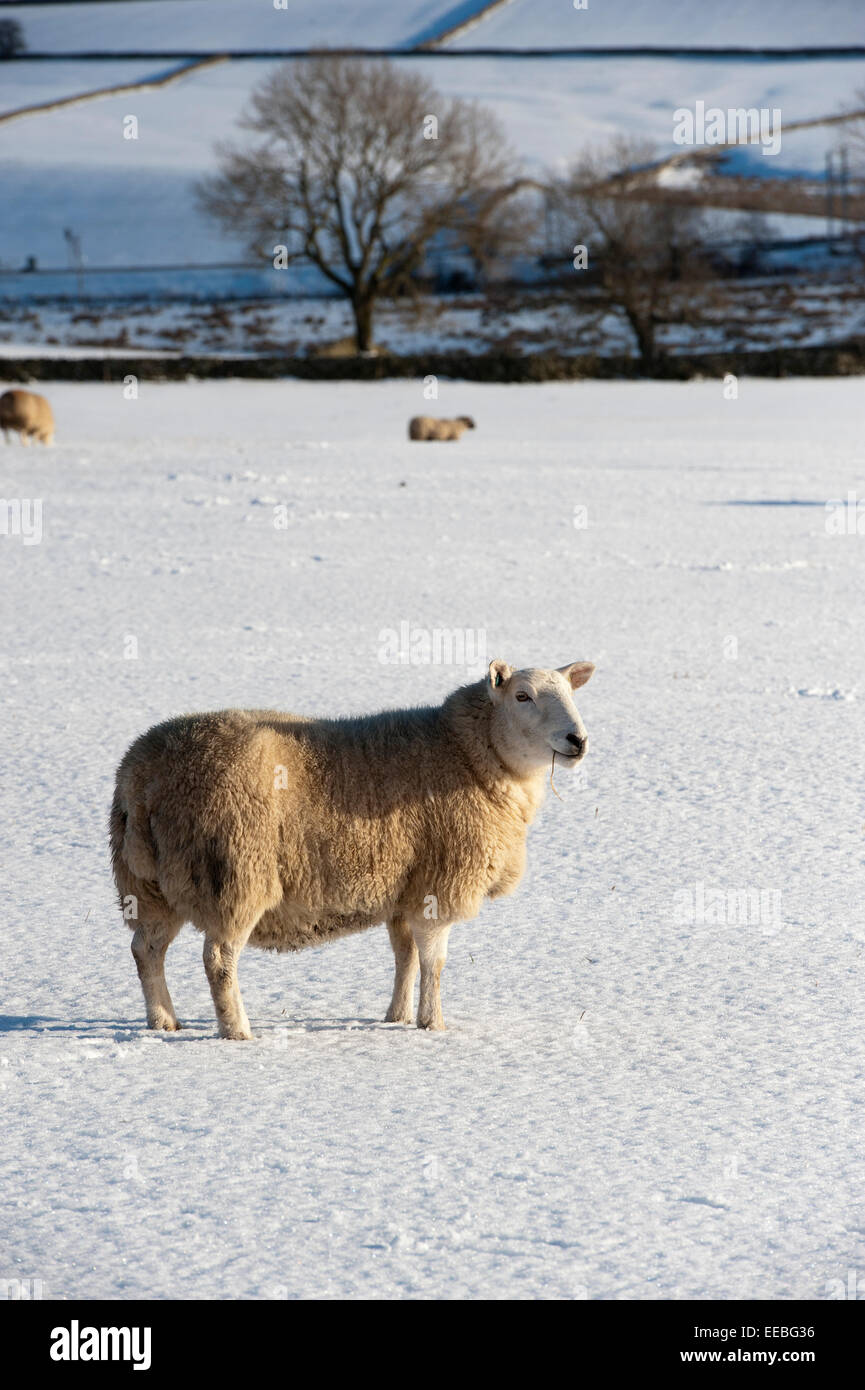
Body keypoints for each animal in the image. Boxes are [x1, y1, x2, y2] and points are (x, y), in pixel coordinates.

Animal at [109, 656, 595, 1039]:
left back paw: (163, 1023)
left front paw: (396, 1018)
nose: (578, 741)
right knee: (217, 961)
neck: (469, 754)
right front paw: (433, 1025)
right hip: (236, 874)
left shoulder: (404, 886)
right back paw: (238, 1033)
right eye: (522, 697)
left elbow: (405, 956)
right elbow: (434, 963)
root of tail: (141, 775)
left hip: (148, 884)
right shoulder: (440, 883)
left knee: (146, 950)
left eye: (572, 694)